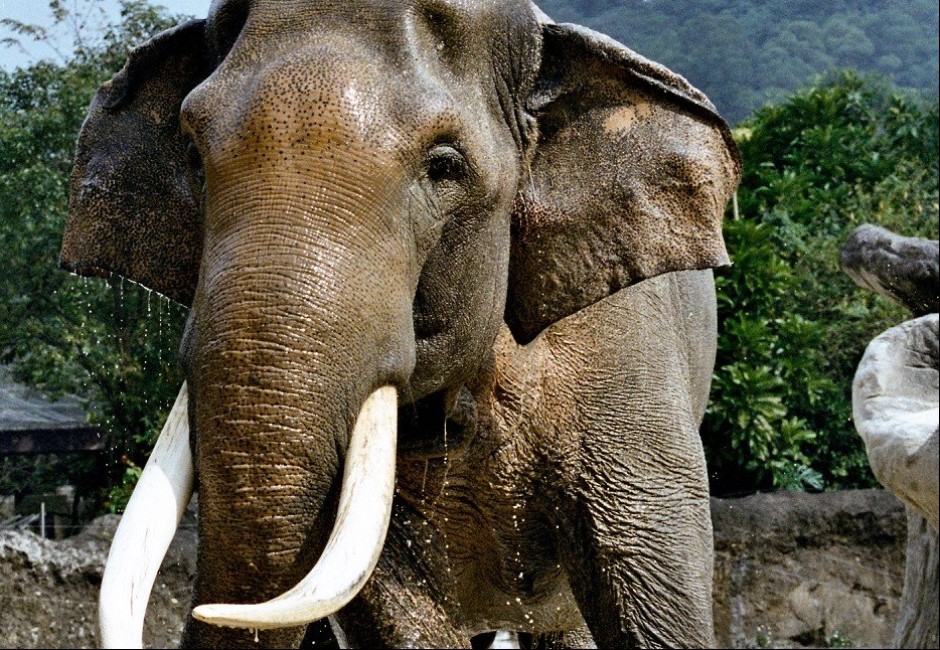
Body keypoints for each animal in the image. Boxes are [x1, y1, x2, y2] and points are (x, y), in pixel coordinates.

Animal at [60, 2, 740, 644]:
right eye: (194, 156)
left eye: (444, 166)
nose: (207, 609)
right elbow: (387, 599)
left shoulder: (626, 353)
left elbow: (651, 578)